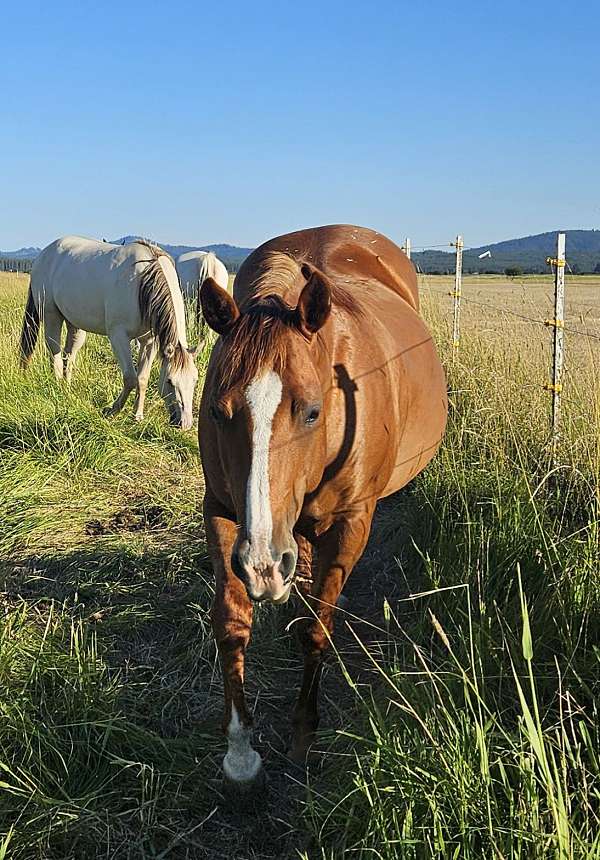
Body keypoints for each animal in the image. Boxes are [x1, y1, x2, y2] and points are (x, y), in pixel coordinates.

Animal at [20, 236, 199, 429]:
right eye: (170, 381)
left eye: (195, 380)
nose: (185, 424)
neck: (143, 281)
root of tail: (44, 254)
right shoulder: (118, 336)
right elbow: (130, 378)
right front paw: (112, 410)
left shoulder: (149, 342)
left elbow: (142, 378)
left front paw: (137, 416)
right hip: (51, 315)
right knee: (55, 352)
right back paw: (58, 387)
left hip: (74, 323)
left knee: (70, 354)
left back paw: (67, 389)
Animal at [198, 224, 448, 790]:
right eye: (219, 411)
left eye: (311, 411)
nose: (263, 565)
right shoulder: (223, 512)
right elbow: (231, 623)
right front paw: (240, 752)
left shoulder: (350, 523)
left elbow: (319, 630)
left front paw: (302, 737)